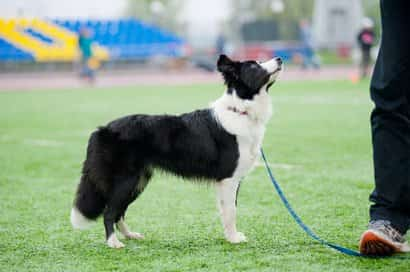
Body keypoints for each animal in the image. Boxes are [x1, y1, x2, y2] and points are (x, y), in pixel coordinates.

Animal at [70, 54, 282, 248]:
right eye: (254, 66)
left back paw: (130, 235)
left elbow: (229, 209)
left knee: (119, 211)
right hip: (126, 179)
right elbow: (231, 211)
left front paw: (231, 236)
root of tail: (102, 129)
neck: (241, 109)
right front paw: (233, 239)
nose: (279, 58)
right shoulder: (228, 178)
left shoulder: (232, 180)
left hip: (138, 181)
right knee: (109, 211)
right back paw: (113, 242)